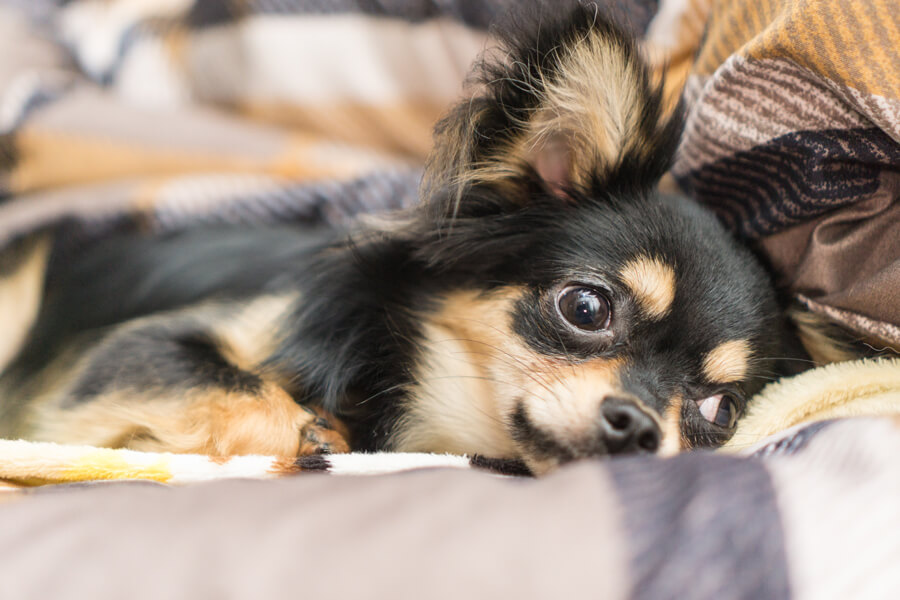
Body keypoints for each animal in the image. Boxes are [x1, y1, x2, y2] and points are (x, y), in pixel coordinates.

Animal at [0, 4, 796, 474]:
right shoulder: (123, 355)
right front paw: (309, 432)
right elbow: (237, 387)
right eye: (586, 308)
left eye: (719, 413)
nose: (636, 429)